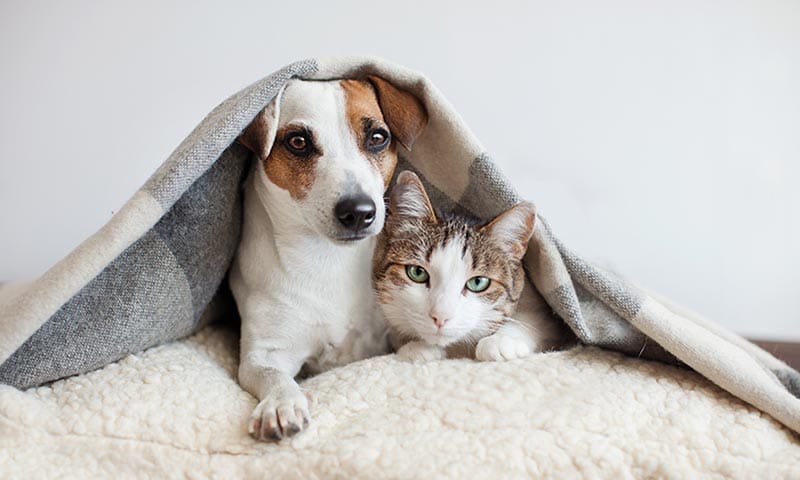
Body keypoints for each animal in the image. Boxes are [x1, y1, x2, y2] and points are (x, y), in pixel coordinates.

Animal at [228, 76, 428, 442]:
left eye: (377, 138)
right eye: (298, 142)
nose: (359, 211)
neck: (329, 259)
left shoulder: (392, 330)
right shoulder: (263, 353)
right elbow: (273, 376)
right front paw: (281, 404)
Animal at [376, 171, 568, 362]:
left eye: (478, 282)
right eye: (417, 272)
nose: (440, 317)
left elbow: (534, 320)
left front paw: (501, 340)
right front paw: (417, 347)